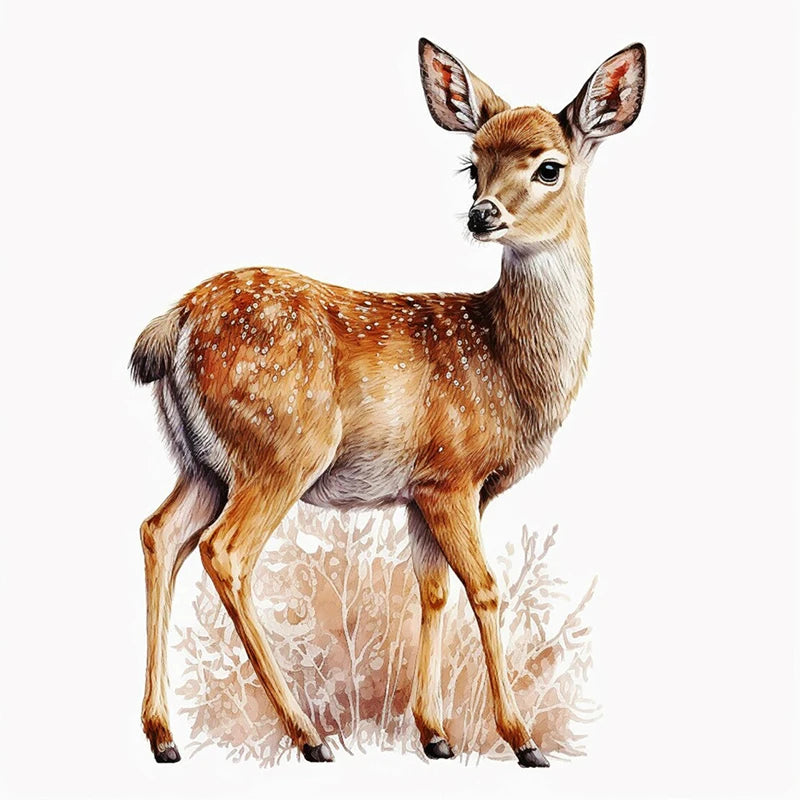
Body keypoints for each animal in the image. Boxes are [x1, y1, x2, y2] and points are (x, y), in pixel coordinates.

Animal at [131, 38, 645, 768]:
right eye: (472, 165)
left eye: (550, 167)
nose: (481, 213)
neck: (508, 367)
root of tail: (171, 325)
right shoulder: (452, 476)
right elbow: (484, 589)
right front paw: (521, 740)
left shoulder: (422, 488)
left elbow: (431, 589)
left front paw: (434, 735)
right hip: (281, 449)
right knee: (223, 552)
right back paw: (307, 734)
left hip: (201, 461)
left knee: (160, 532)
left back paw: (164, 737)